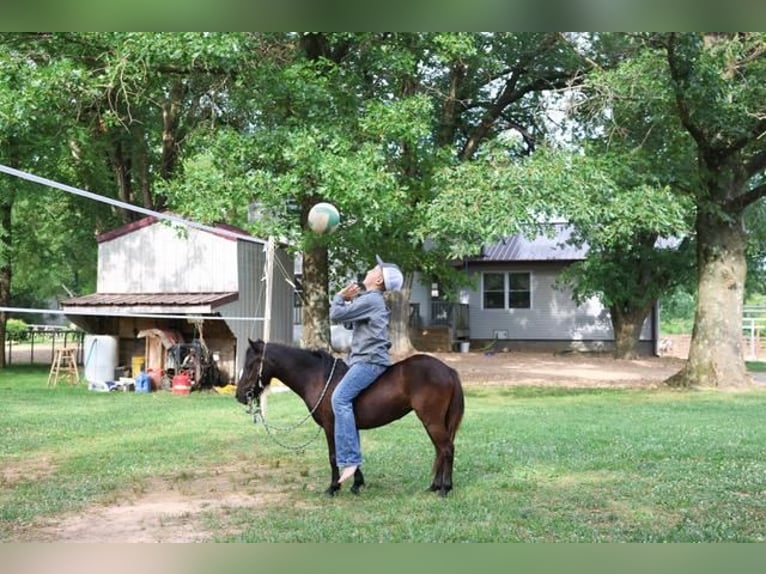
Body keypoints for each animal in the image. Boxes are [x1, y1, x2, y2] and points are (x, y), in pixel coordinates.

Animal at [234, 340, 464, 498]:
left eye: (252, 364)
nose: (239, 395)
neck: (318, 378)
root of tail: (448, 370)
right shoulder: (348, 425)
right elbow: (353, 453)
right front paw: (356, 484)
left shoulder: (331, 426)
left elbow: (334, 456)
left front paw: (333, 487)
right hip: (432, 422)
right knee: (440, 450)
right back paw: (435, 486)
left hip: (432, 421)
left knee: (446, 449)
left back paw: (445, 488)